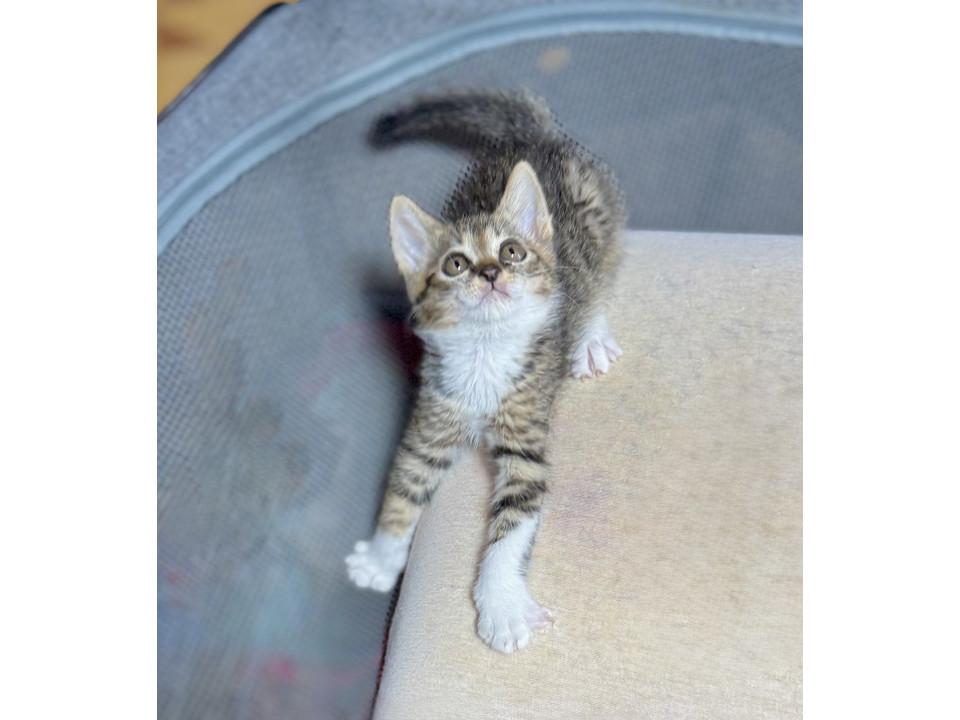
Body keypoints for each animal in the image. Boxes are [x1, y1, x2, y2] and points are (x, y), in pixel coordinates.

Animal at [345, 90, 626, 653]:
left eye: (511, 252)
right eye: (455, 264)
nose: (492, 272)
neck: (484, 352)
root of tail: (537, 137)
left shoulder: (525, 443)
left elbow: (512, 525)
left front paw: (502, 608)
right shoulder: (432, 418)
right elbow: (403, 487)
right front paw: (382, 557)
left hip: (601, 221)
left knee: (597, 281)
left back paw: (589, 338)